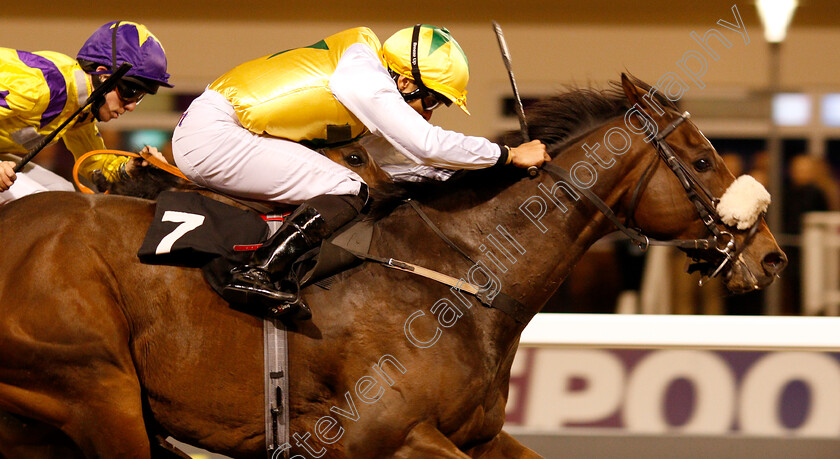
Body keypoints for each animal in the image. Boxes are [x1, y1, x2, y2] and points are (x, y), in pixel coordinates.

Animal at [1, 76, 788, 459]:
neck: (461, 279)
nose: (772, 255)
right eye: (701, 160)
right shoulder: (377, 434)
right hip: (97, 392)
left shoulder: (478, 436)